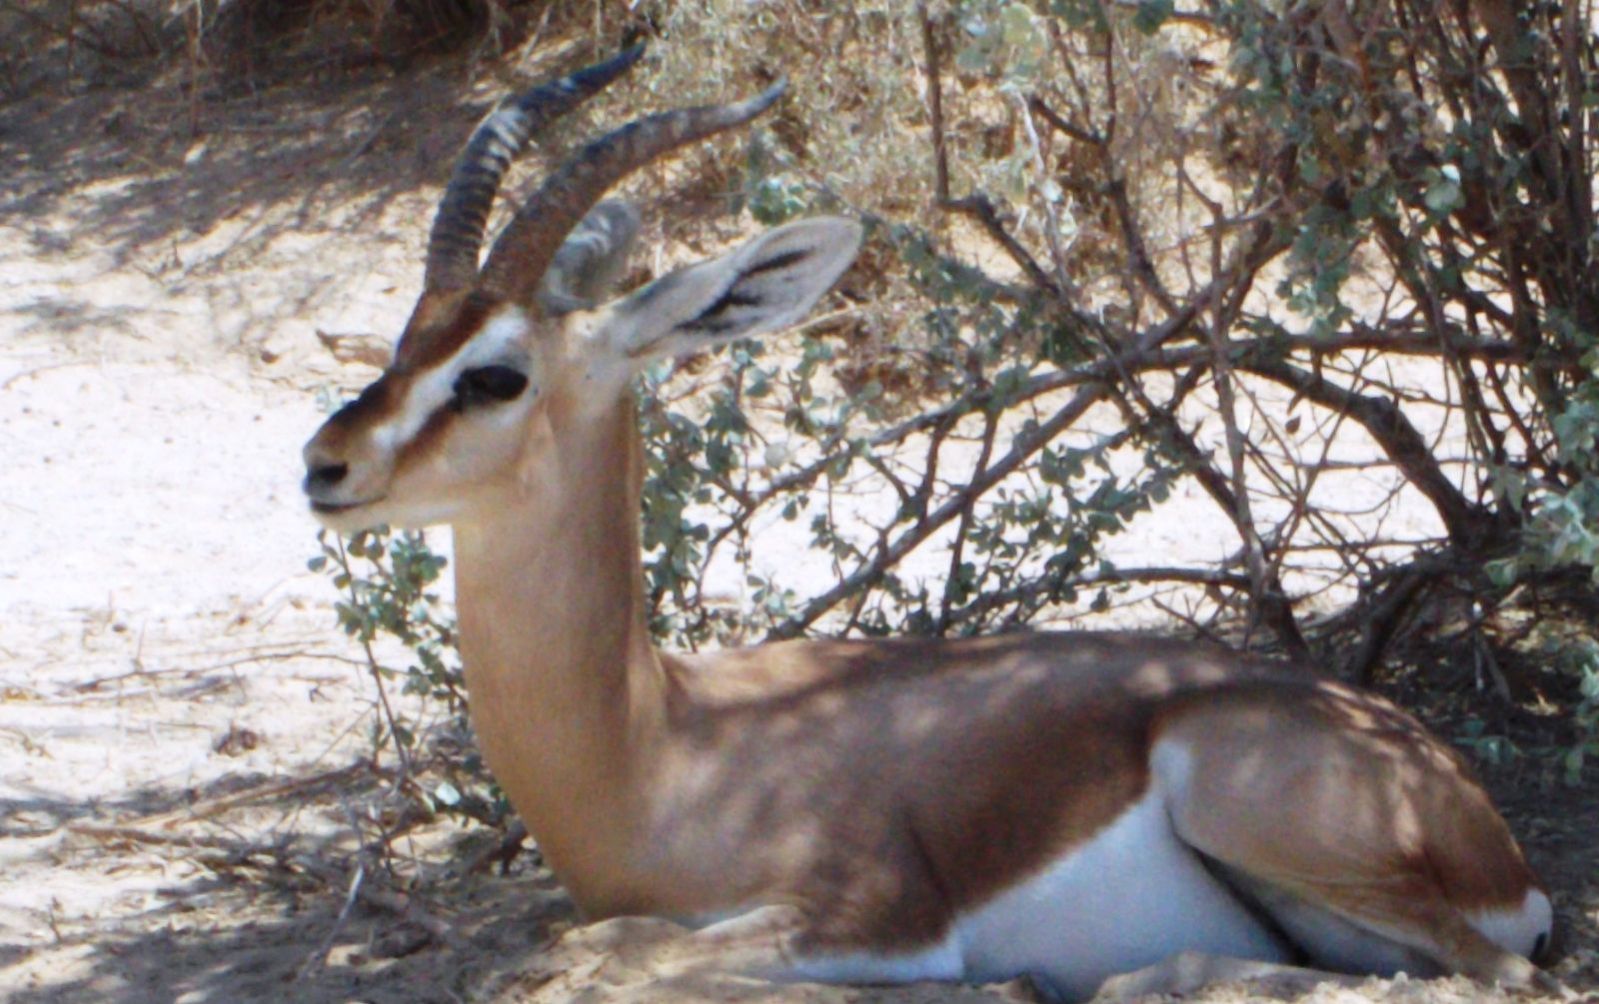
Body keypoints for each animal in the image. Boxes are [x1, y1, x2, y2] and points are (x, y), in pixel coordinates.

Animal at [301, 46, 1557, 1002]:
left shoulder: (877, 917)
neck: (660, 745)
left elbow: (614, 959)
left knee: (1489, 975)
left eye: (494, 374)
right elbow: (589, 945)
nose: (326, 465)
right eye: (407, 339)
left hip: (1247, 810)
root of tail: (1463, 801)